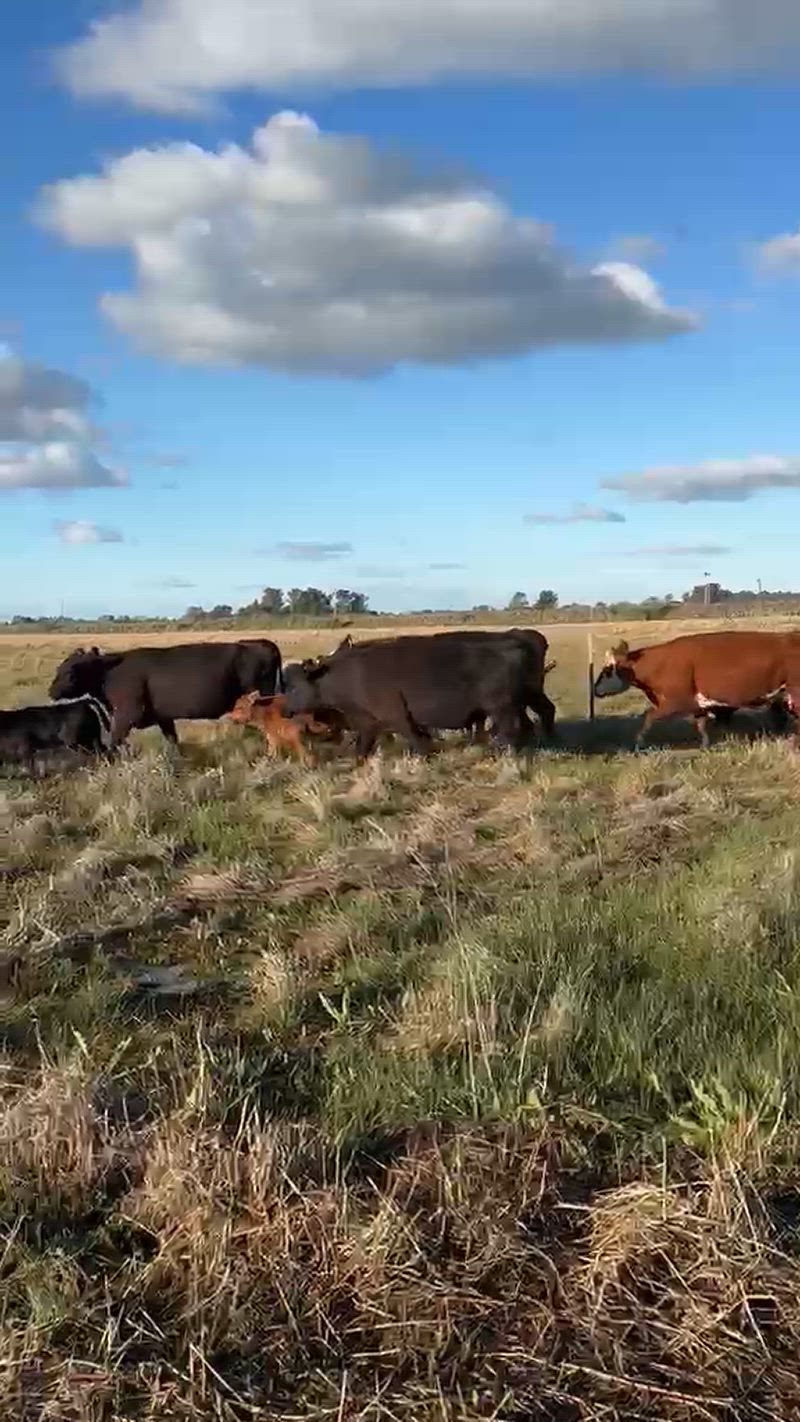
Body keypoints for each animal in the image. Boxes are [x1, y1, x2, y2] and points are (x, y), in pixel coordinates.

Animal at [49, 640, 282, 750]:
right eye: (59, 668)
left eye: (71, 671)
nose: (51, 691)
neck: (109, 673)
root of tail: (261, 643)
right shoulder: (164, 717)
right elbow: (172, 740)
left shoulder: (127, 715)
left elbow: (114, 742)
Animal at [282, 630, 551, 759]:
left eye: (293, 687)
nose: (284, 710)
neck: (350, 674)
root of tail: (514, 645)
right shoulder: (368, 723)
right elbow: (362, 749)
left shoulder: (398, 718)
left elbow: (418, 741)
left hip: (503, 710)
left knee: (513, 733)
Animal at [593, 630, 800, 750]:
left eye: (607, 669)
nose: (595, 689)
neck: (659, 664)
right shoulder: (698, 705)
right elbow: (701, 726)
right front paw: (705, 746)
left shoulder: (674, 702)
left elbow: (648, 717)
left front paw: (638, 743)